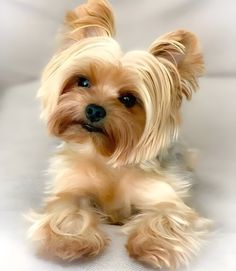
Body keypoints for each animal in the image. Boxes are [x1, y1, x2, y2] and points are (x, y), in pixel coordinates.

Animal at [28, 0, 210, 270]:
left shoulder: (164, 196)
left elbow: (166, 215)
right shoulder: (71, 187)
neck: (106, 154)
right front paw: (68, 242)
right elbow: (67, 209)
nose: (94, 109)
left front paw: (153, 247)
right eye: (83, 82)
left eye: (128, 99)